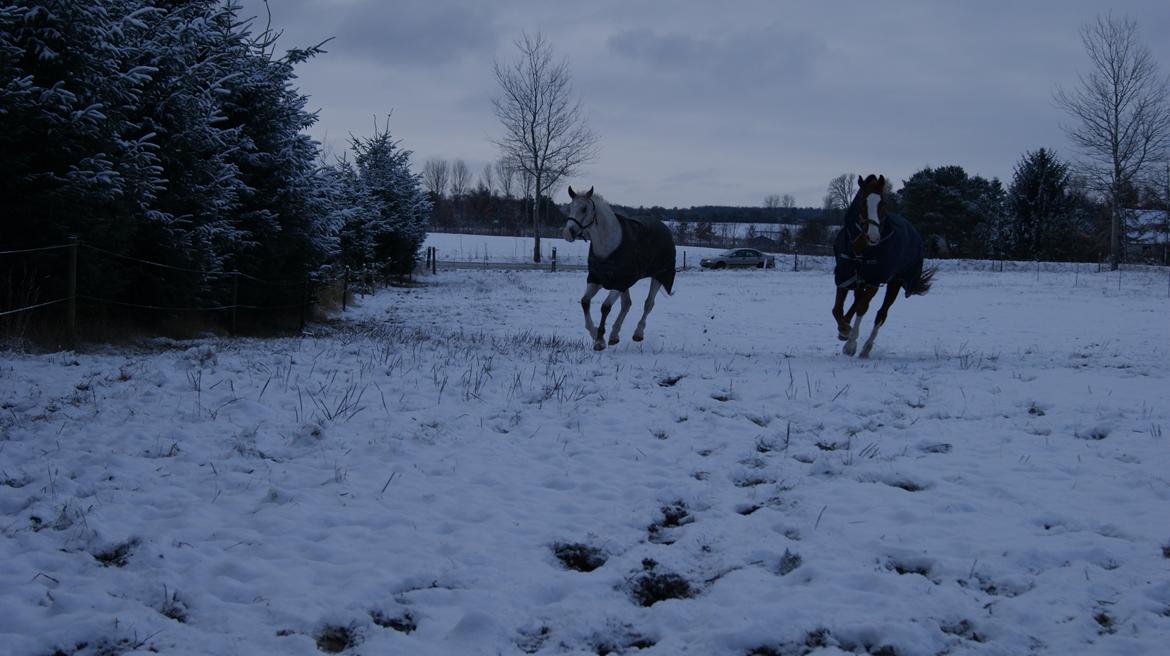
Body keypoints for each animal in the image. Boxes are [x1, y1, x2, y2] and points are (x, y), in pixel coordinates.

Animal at [563, 185, 678, 348]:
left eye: (584, 208)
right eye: (569, 208)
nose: (567, 233)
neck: (608, 245)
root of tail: (664, 227)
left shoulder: (619, 283)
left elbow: (605, 307)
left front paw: (600, 339)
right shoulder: (597, 279)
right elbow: (585, 302)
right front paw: (595, 334)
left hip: (658, 276)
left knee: (648, 304)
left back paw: (638, 333)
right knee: (626, 304)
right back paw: (614, 336)